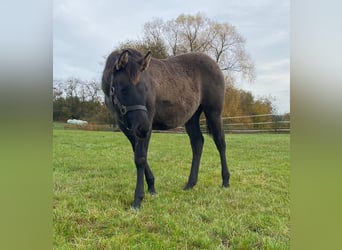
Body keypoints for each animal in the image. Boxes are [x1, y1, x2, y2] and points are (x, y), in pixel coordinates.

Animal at [101, 48, 230, 207]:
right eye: (123, 89)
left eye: (146, 89)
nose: (143, 127)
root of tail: (214, 64)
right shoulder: (127, 127)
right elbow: (138, 155)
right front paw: (151, 187)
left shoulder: (147, 124)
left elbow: (140, 158)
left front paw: (138, 199)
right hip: (191, 117)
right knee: (197, 143)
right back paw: (190, 184)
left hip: (213, 112)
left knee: (220, 142)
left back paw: (225, 181)